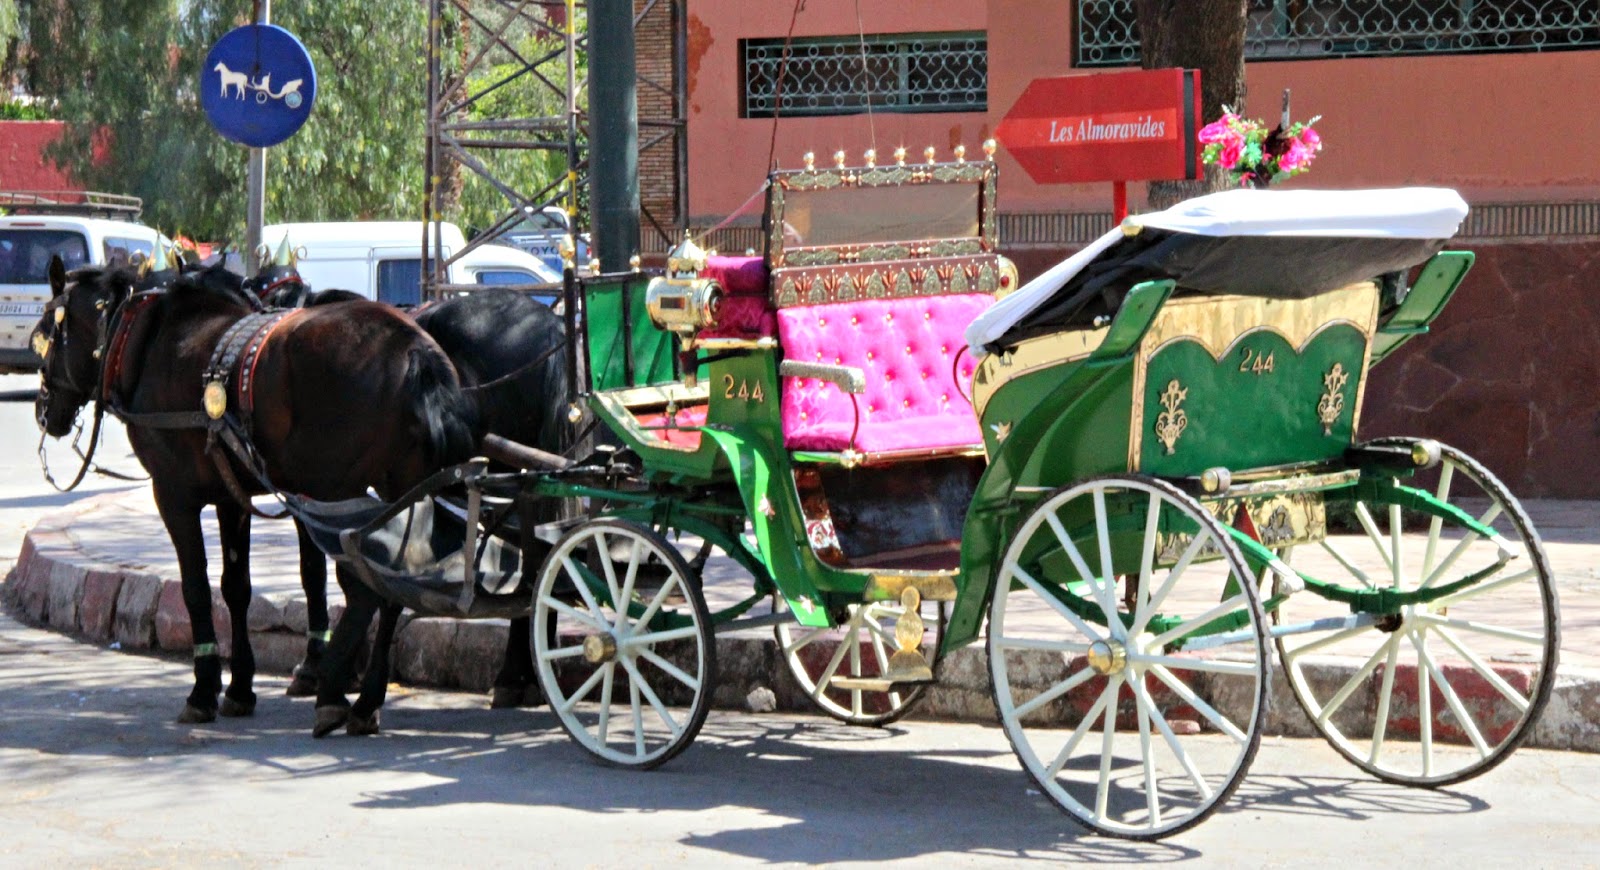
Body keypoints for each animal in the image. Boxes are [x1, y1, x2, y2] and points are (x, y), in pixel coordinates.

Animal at [34, 260, 476, 726]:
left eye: (46, 331)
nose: (44, 410)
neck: (150, 339)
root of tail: (415, 352)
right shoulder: (231, 496)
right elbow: (236, 587)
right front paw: (240, 686)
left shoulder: (173, 495)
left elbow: (196, 587)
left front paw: (204, 689)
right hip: (403, 488)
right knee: (392, 588)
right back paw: (366, 699)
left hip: (338, 493)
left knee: (363, 587)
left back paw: (334, 693)